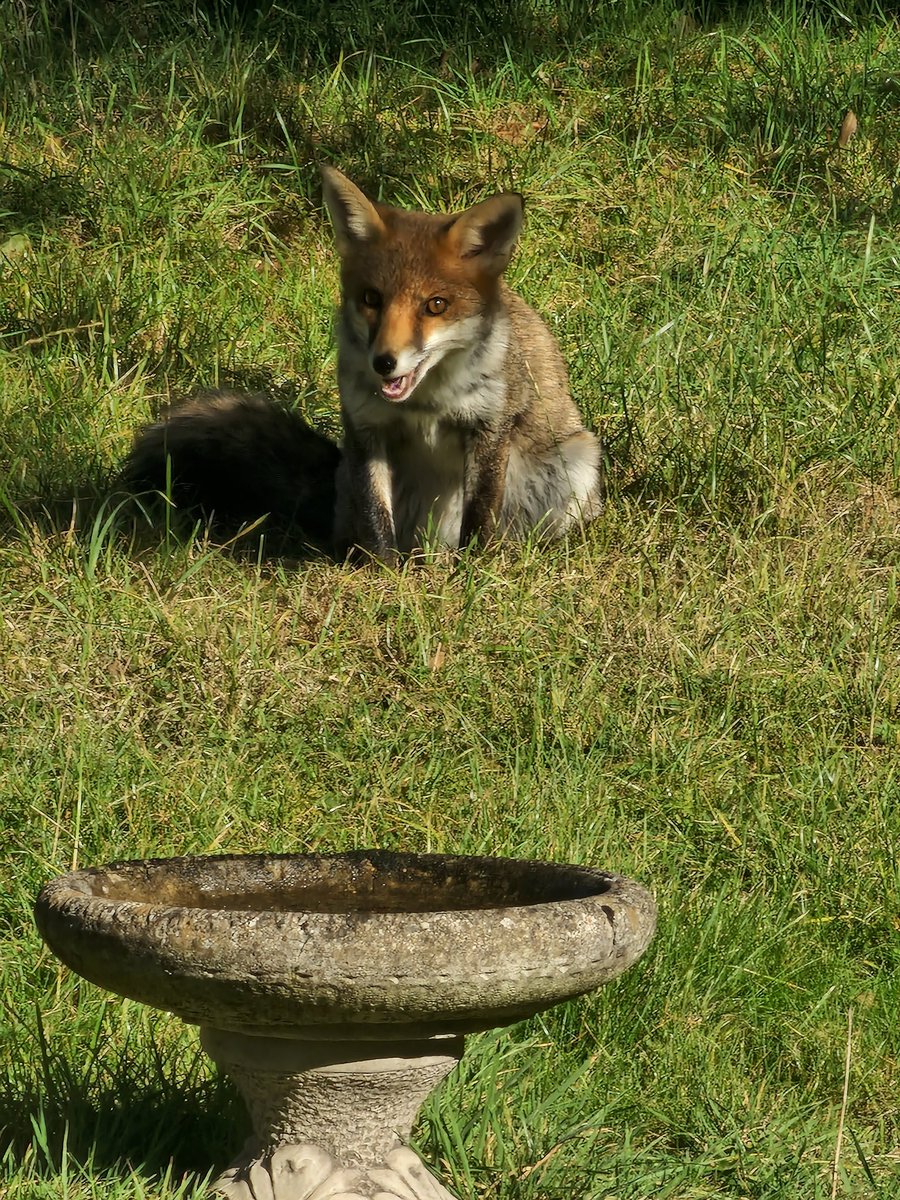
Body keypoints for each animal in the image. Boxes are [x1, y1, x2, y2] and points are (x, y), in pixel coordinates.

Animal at [122, 167, 602, 561]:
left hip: (574, 464)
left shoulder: (488, 426)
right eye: (372, 298)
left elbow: (480, 514)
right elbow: (376, 520)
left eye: (436, 305)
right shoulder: (367, 428)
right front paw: (382, 575)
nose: (384, 363)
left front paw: (474, 570)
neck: (426, 404)